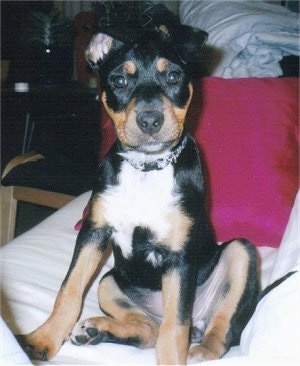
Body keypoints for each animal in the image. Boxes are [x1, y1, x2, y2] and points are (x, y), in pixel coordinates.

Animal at [17, 4, 258, 364]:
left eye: (173, 77)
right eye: (119, 80)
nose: (150, 120)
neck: (146, 169)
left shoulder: (179, 256)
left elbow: (175, 328)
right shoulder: (94, 232)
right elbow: (68, 290)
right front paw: (42, 340)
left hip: (240, 253)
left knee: (216, 329)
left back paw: (201, 348)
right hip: (111, 280)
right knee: (148, 330)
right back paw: (95, 330)